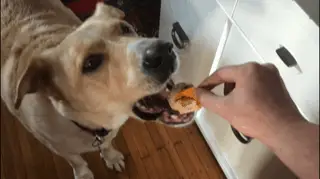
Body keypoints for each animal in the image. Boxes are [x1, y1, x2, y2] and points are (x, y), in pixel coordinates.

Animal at [1, 0, 195, 178]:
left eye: (125, 28)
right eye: (91, 63)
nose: (163, 50)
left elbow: (107, 144)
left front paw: (111, 157)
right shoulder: (58, 147)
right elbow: (77, 161)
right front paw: (84, 174)